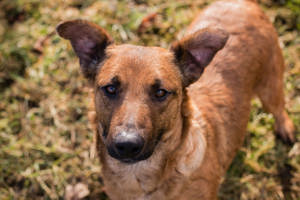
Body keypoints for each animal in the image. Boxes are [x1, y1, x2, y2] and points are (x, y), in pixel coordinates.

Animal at [56, 0, 296, 199]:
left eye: (161, 92)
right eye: (111, 88)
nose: (127, 145)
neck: (140, 178)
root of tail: (243, 2)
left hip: (271, 86)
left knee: (279, 108)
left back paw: (286, 129)